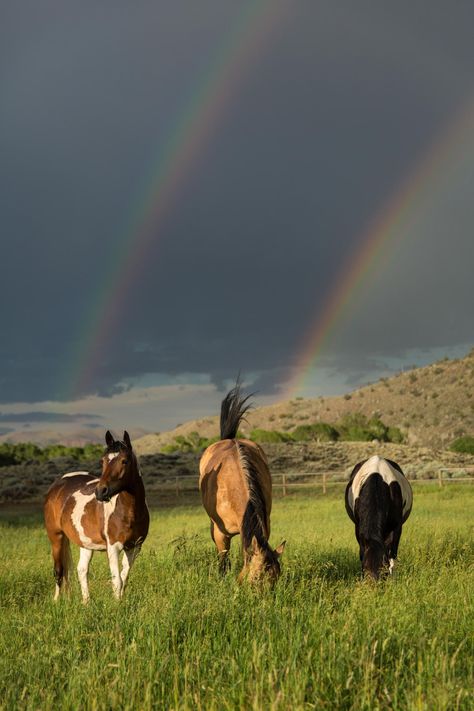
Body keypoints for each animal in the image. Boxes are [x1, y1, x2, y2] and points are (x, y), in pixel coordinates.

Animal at [44, 432, 149, 604]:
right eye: (103, 460)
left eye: (124, 461)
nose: (101, 492)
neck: (129, 511)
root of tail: (58, 484)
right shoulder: (113, 547)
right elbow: (117, 580)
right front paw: (117, 605)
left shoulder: (135, 547)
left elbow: (124, 578)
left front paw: (121, 601)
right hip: (56, 537)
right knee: (59, 570)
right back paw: (56, 601)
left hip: (85, 543)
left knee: (81, 570)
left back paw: (86, 602)